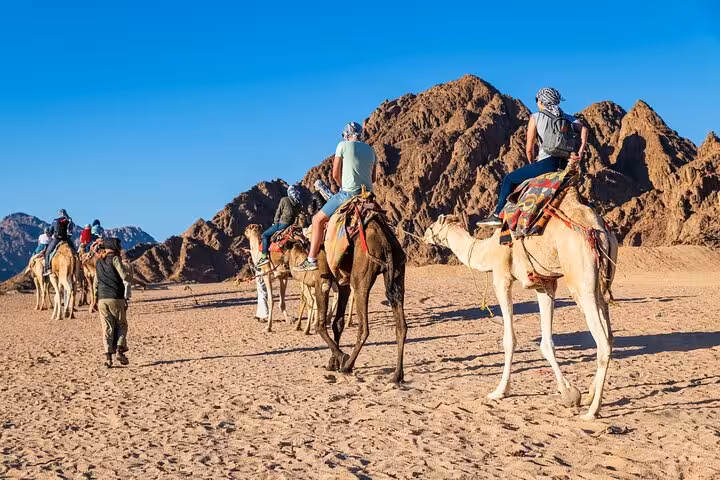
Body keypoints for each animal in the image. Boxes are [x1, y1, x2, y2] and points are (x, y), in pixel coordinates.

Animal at [313, 215, 408, 384]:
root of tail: (383, 240)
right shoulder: (342, 283)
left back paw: (347, 366)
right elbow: (338, 323)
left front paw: (341, 357)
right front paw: (333, 362)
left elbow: (320, 325)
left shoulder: (322, 278)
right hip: (397, 272)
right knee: (401, 326)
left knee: (364, 328)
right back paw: (397, 375)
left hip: (361, 278)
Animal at [422, 187, 617, 419]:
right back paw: (589, 396)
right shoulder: (545, 284)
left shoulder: (502, 277)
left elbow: (509, 340)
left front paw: (500, 391)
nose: (424, 236)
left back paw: (592, 411)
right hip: (601, 284)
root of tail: (599, 230)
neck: (487, 250)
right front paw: (570, 393)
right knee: (609, 336)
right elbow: (546, 343)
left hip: (581, 280)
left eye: (432, 226)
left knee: (602, 342)